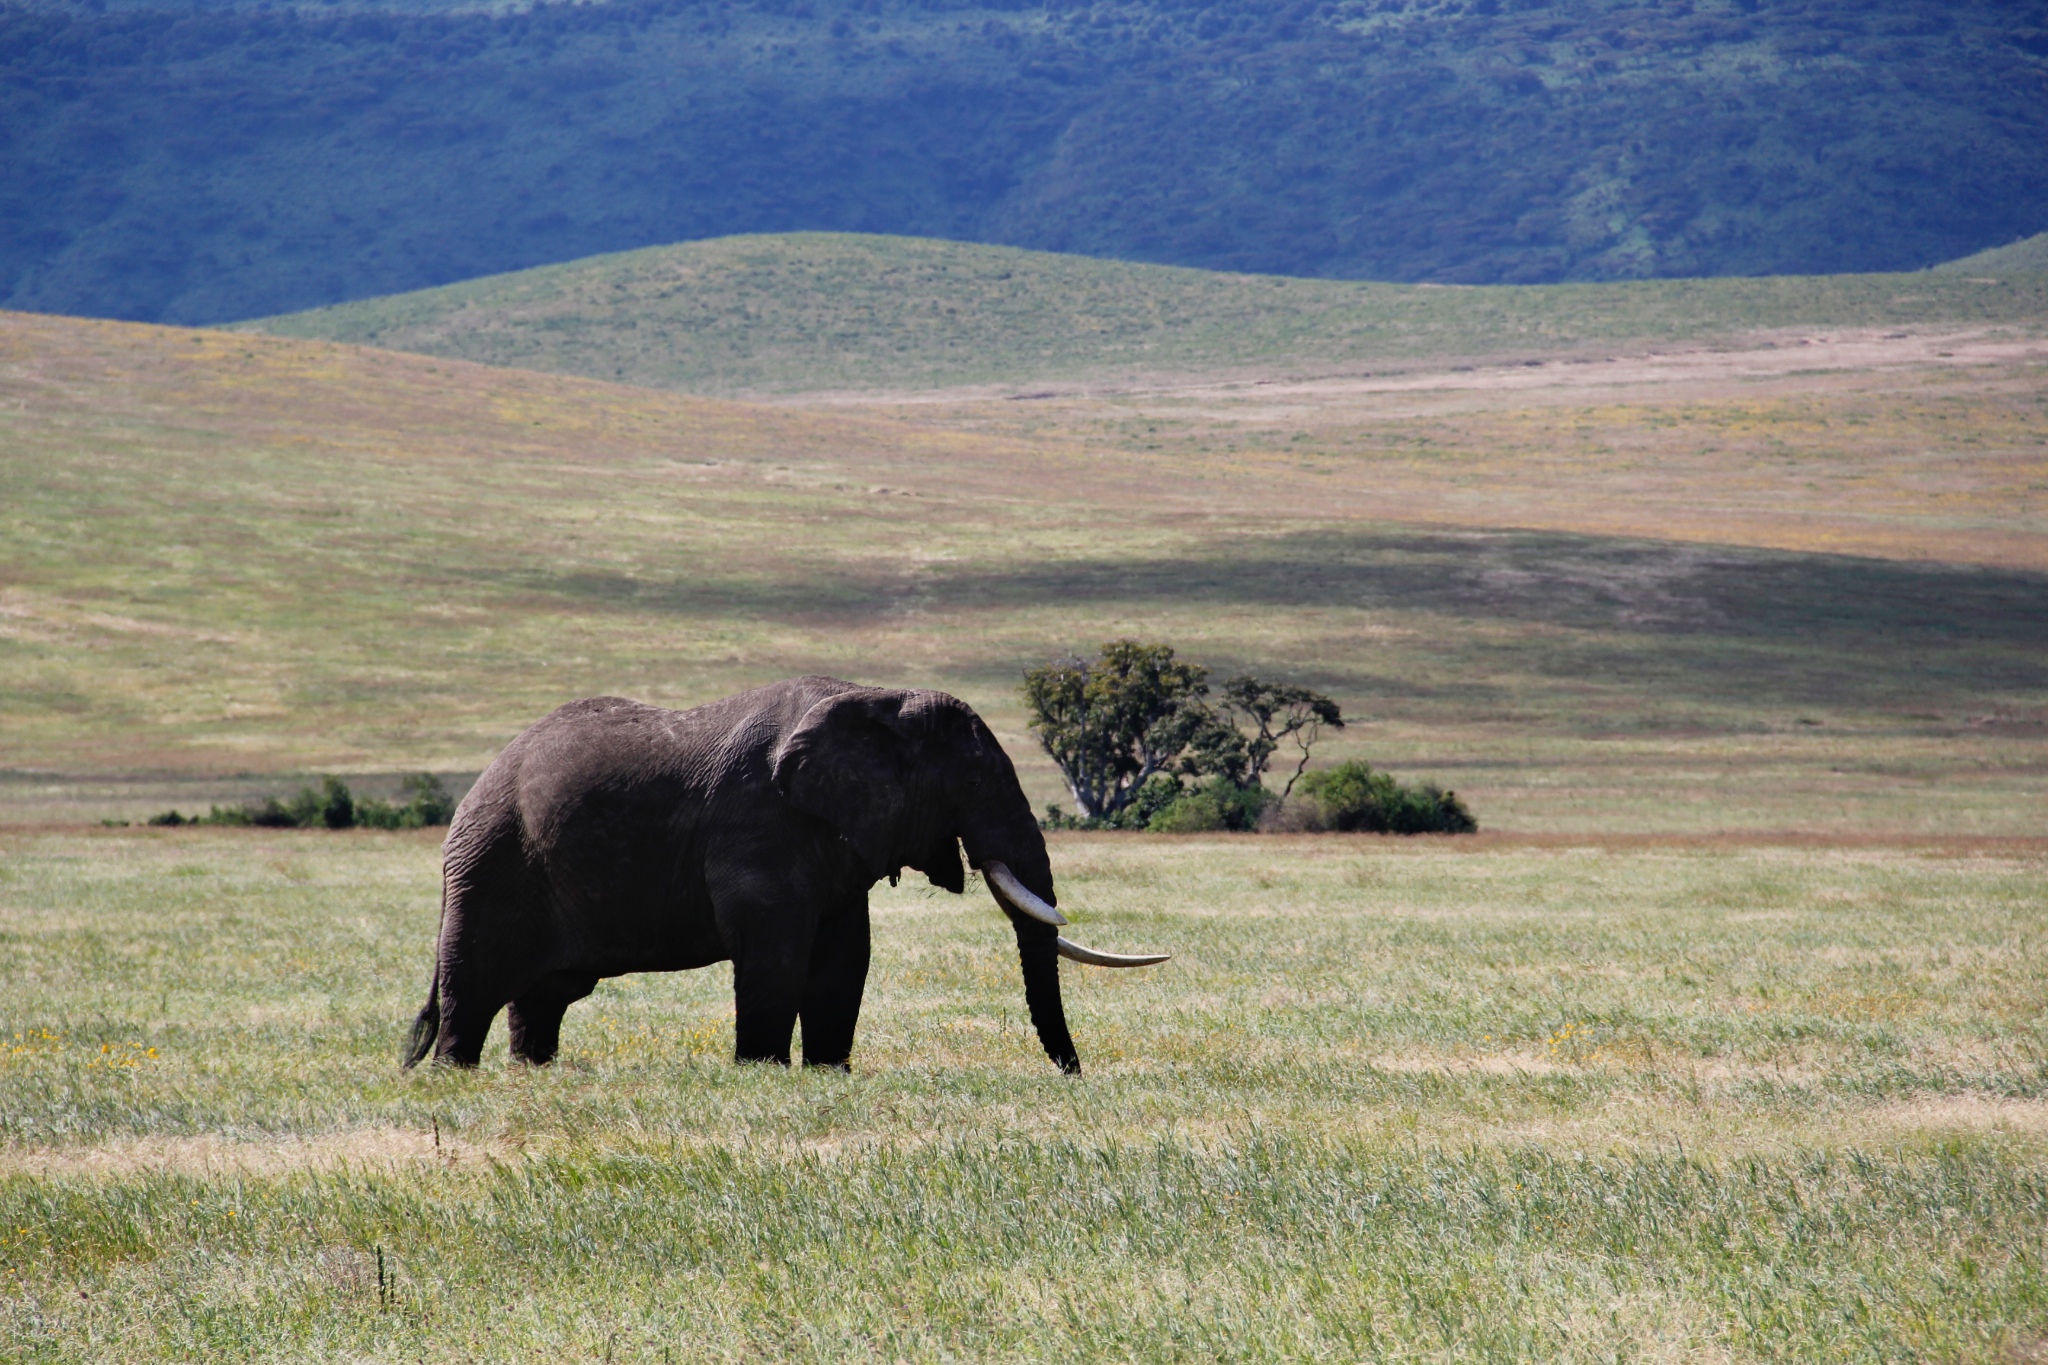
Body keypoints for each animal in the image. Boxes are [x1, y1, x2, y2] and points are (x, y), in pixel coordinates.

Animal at [399, 679, 1171, 1072]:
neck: (879, 696)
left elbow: (845, 957)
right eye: (975, 781)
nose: (1074, 1075)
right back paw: (453, 1078)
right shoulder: (758, 824)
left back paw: (534, 1076)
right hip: (492, 862)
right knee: (474, 986)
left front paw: (828, 1075)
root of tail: (472, 791)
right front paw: (762, 1073)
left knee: (542, 998)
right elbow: (773, 953)